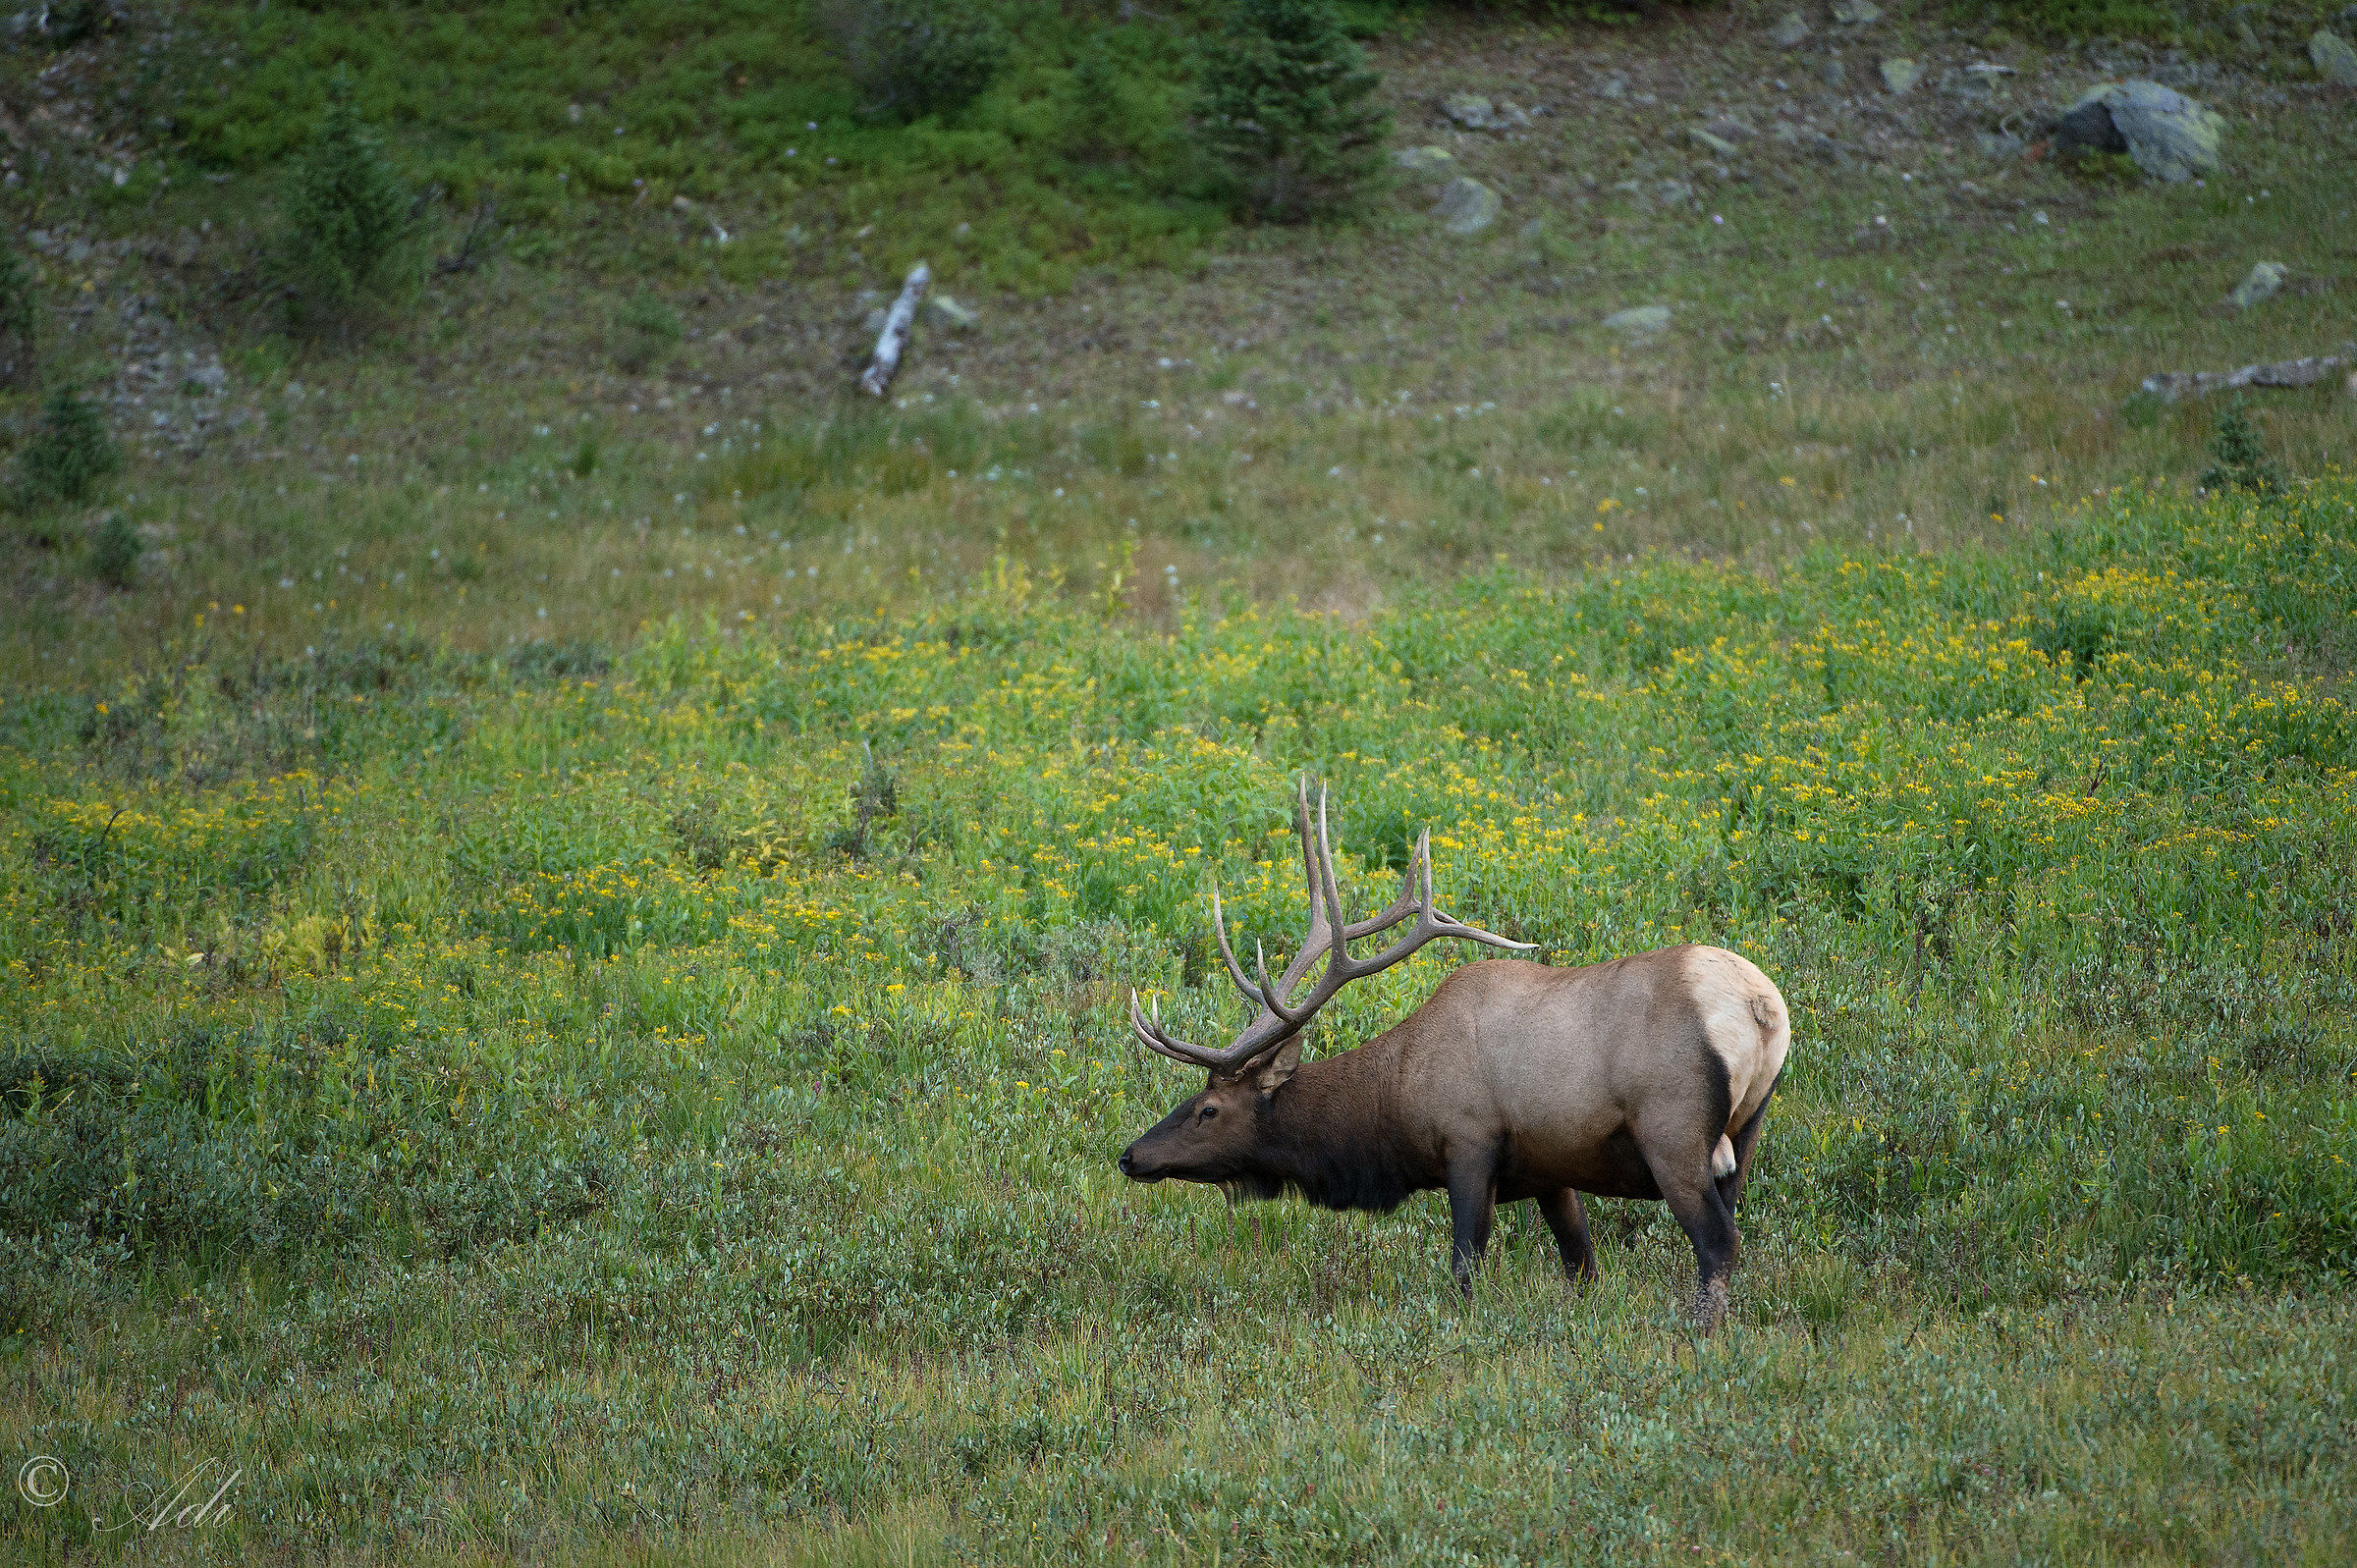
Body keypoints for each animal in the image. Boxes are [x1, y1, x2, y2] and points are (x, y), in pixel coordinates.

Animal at [1117, 782, 1790, 1326]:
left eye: (1207, 1108)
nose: (1129, 1156)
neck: (1395, 1106)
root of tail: (1762, 1009)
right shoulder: (1550, 1168)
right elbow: (1581, 1264)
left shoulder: (1468, 1143)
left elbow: (1465, 1266)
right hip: (1747, 1128)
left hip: (1672, 1130)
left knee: (1718, 1242)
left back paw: (1698, 1335)